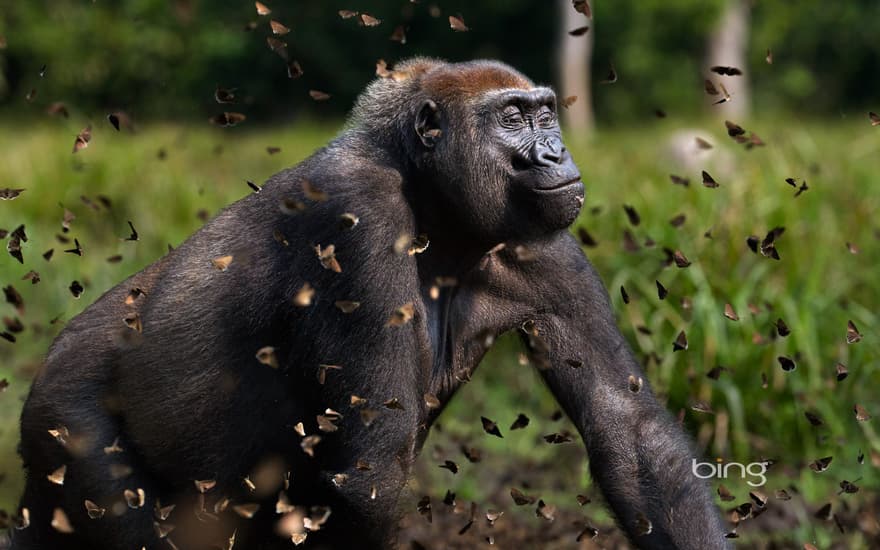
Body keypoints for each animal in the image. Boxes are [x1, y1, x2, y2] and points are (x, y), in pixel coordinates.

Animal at [10, 58, 728, 548]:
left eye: (546, 112)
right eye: (513, 118)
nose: (555, 152)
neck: (426, 192)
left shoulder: (545, 244)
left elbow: (629, 430)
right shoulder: (356, 215)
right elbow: (369, 469)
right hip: (64, 420)